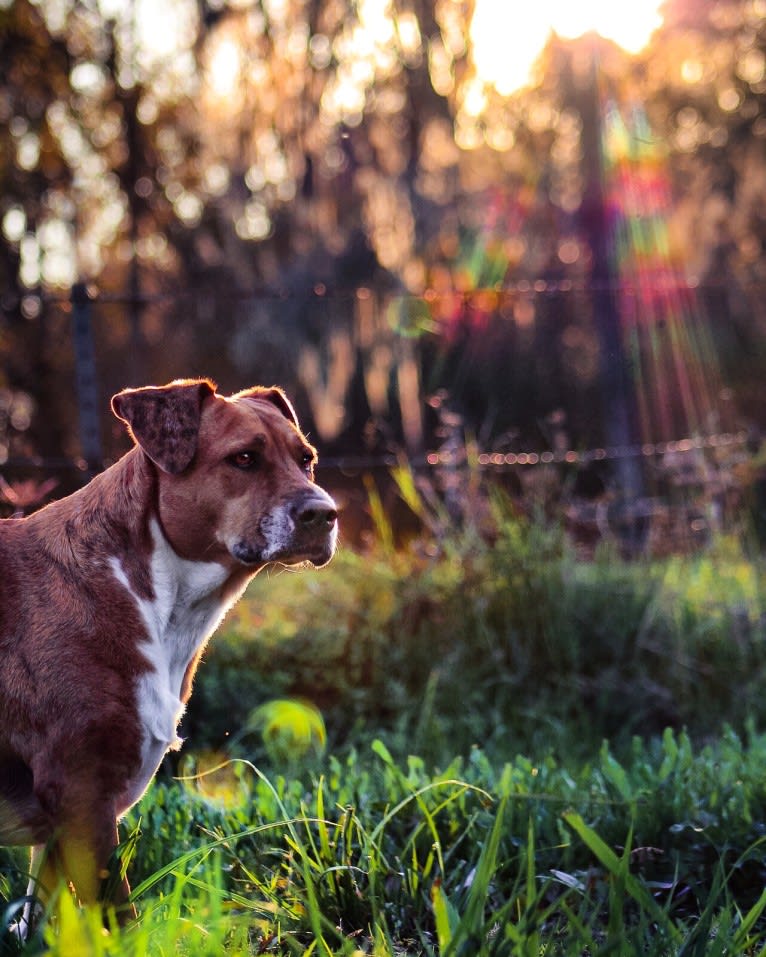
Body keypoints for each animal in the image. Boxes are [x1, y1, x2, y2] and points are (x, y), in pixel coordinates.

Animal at [0, 380, 340, 928]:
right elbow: (116, 918)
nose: (325, 514)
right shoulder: (79, 793)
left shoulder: (58, 824)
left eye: (305, 460)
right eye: (244, 458)